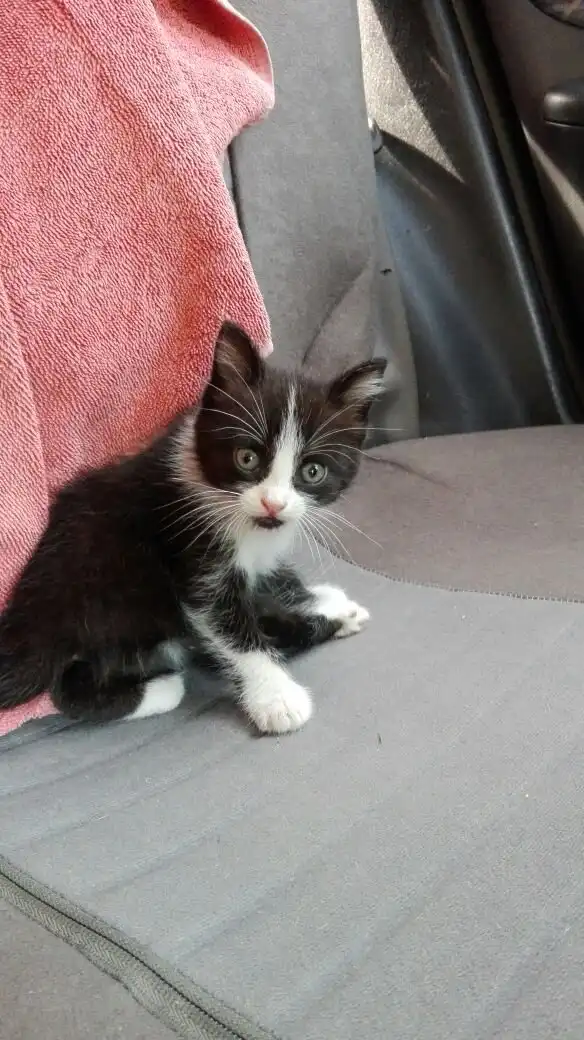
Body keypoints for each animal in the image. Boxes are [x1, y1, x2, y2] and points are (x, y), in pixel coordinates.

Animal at [0, 323, 386, 734]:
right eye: (246, 458)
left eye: (313, 472)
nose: (273, 504)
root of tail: (32, 617)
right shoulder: (194, 548)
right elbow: (227, 624)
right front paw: (276, 697)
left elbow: (272, 578)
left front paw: (327, 602)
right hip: (117, 591)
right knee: (72, 687)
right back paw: (164, 688)